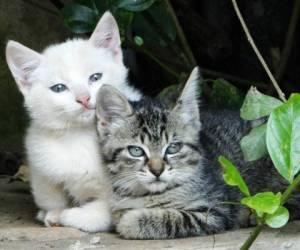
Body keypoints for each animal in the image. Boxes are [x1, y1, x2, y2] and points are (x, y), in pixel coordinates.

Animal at [4, 10, 141, 231]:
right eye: (59, 88)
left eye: (95, 77)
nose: (83, 98)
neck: (80, 134)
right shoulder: (39, 162)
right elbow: (50, 194)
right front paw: (52, 213)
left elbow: (107, 208)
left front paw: (73, 215)